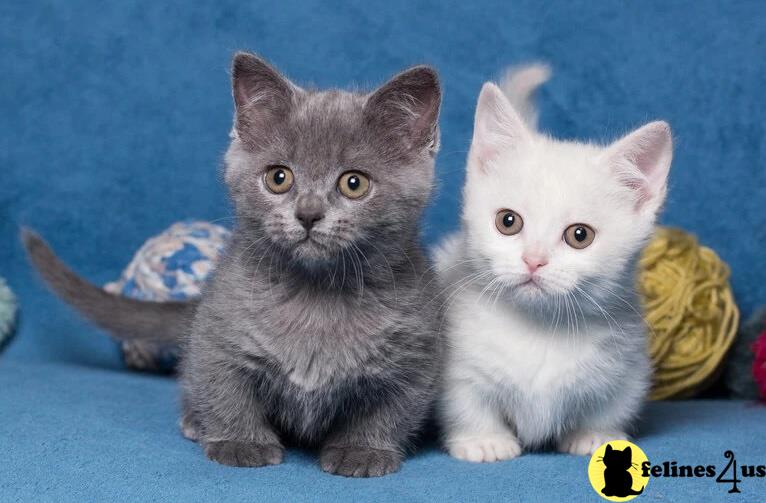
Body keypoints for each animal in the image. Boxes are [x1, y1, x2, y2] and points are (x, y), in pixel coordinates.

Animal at [25, 53, 444, 478]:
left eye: (353, 183)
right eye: (279, 177)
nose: (308, 214)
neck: (316, 294)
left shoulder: (417, 355)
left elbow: (390, 409)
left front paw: (362, 450)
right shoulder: (216, 333)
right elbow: (226, 390)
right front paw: (241, 442)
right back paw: (194, 421)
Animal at [438, 65, 672, 462]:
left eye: (580, 235)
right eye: (508, 221)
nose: (534, 260)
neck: (541, 326)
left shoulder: (629, 365)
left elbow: (614, 403)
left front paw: (595, 435)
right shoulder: (456, 362)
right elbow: (467, 401)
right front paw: (483, 440)